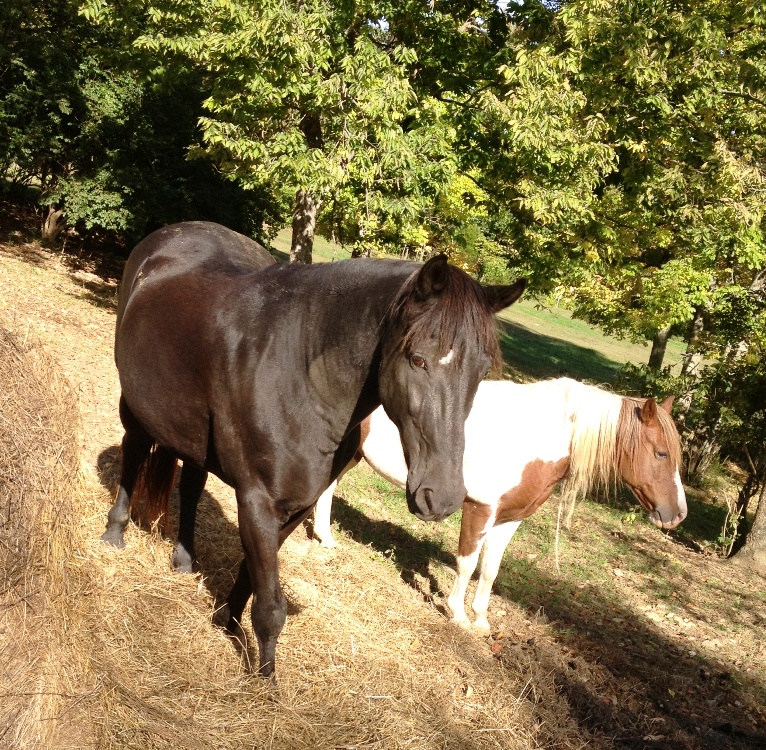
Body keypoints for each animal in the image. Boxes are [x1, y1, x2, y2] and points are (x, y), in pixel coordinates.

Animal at [100, 220, 528, 680]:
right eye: (418, 359)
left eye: (481, 372)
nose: (443, 497)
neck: (301, 376)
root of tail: (169, 235)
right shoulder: (257, 501)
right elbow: (270, 605)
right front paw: (265, 680)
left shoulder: (297, 505)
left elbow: (252, 579)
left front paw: (227, 621)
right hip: (135, 408)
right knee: (133, 454)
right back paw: (114, 533)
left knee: (193, 482)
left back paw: (183, 559)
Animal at [312, 378, 688, 632]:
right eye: (661, 453)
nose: (677, 516)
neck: (527, 437)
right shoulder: (480, 509)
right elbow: (467, 563)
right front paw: (458, 614)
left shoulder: (509, 519)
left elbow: (490, 569)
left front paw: (480, 618)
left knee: (326, 490)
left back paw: (325, 539)